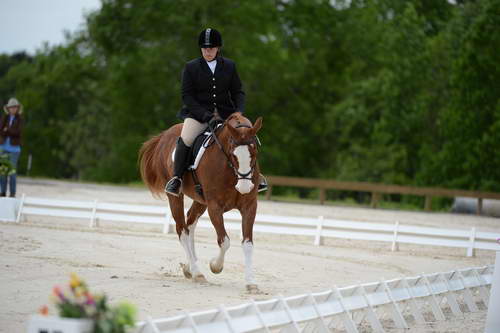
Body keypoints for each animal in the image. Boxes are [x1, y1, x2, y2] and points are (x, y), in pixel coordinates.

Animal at [137, 111, 262, 290]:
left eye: (255, 151)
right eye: (233, 153)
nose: (244, 187)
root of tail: (164, 135)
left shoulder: (249, 206)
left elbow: (248, 243)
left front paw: (251, 283)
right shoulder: (215, 207)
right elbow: (224, 241)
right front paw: (215, 266)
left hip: (200, 201)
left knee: (190, 224)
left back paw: (190, 267)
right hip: (176, 196)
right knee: (182, 230)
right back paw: (197, 273)